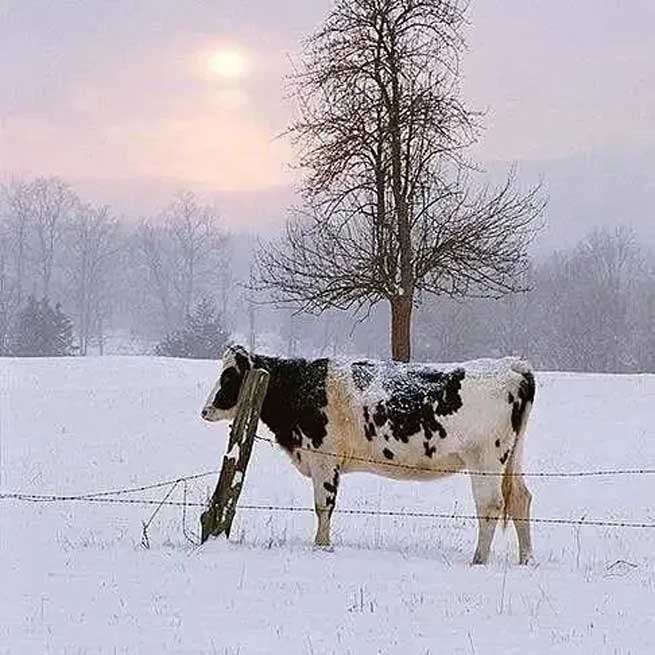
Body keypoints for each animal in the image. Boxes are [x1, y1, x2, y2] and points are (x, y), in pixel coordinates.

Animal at [201, 344, 536, 565]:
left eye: (229, 376)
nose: (205, 410)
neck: (303, 386)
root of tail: (512, 365)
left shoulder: (324, 458)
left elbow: (323, 507)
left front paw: (321, 547)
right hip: (512, 458)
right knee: (521, 499)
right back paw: (526, 560)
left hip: (486, 460)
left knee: (491, 506)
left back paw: (479, 560)